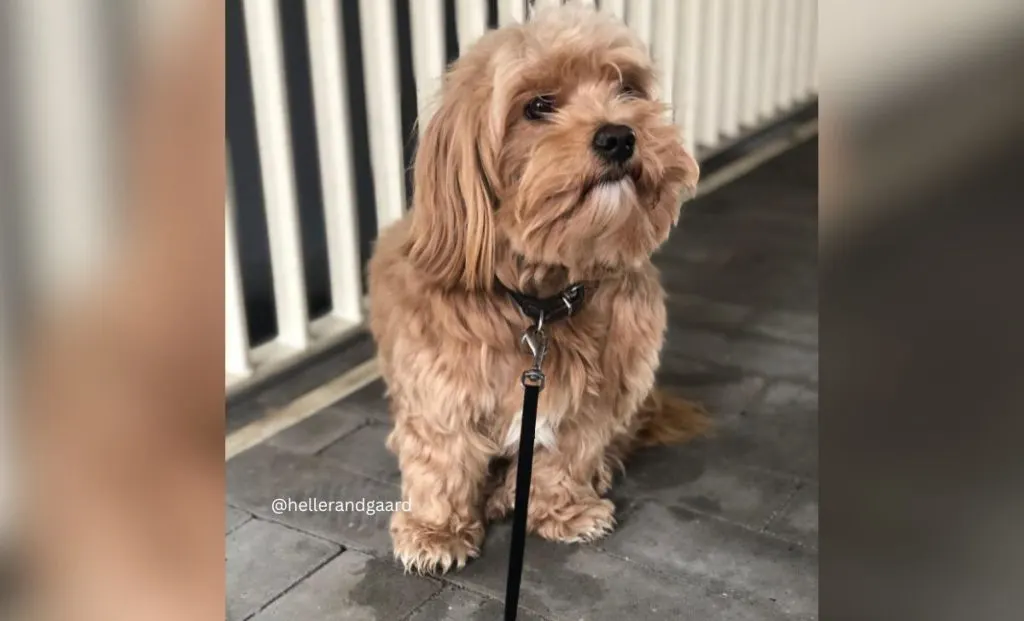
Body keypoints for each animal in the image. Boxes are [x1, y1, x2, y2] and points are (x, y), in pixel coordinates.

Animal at [372, 6, 708, 577]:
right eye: (538, 106)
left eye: (627, 88)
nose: (619, 136)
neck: (540, 303)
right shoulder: (441, 390)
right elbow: (442, 458)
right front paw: (435, 531)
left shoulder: (593, 400)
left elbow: (567, 453)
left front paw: (560, 509)